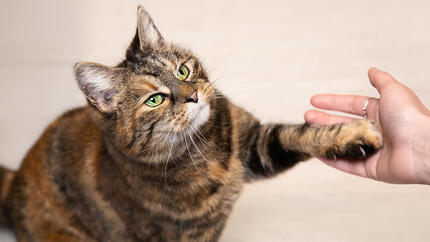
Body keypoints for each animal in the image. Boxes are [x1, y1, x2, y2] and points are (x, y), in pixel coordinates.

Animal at [0, 5, 382, 242]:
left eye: (183, 70)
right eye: (154, 99)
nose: (194, 95)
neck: (206, 151)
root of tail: (16, 180)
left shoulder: (255, 145)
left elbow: (302, 134)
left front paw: (356, 135)